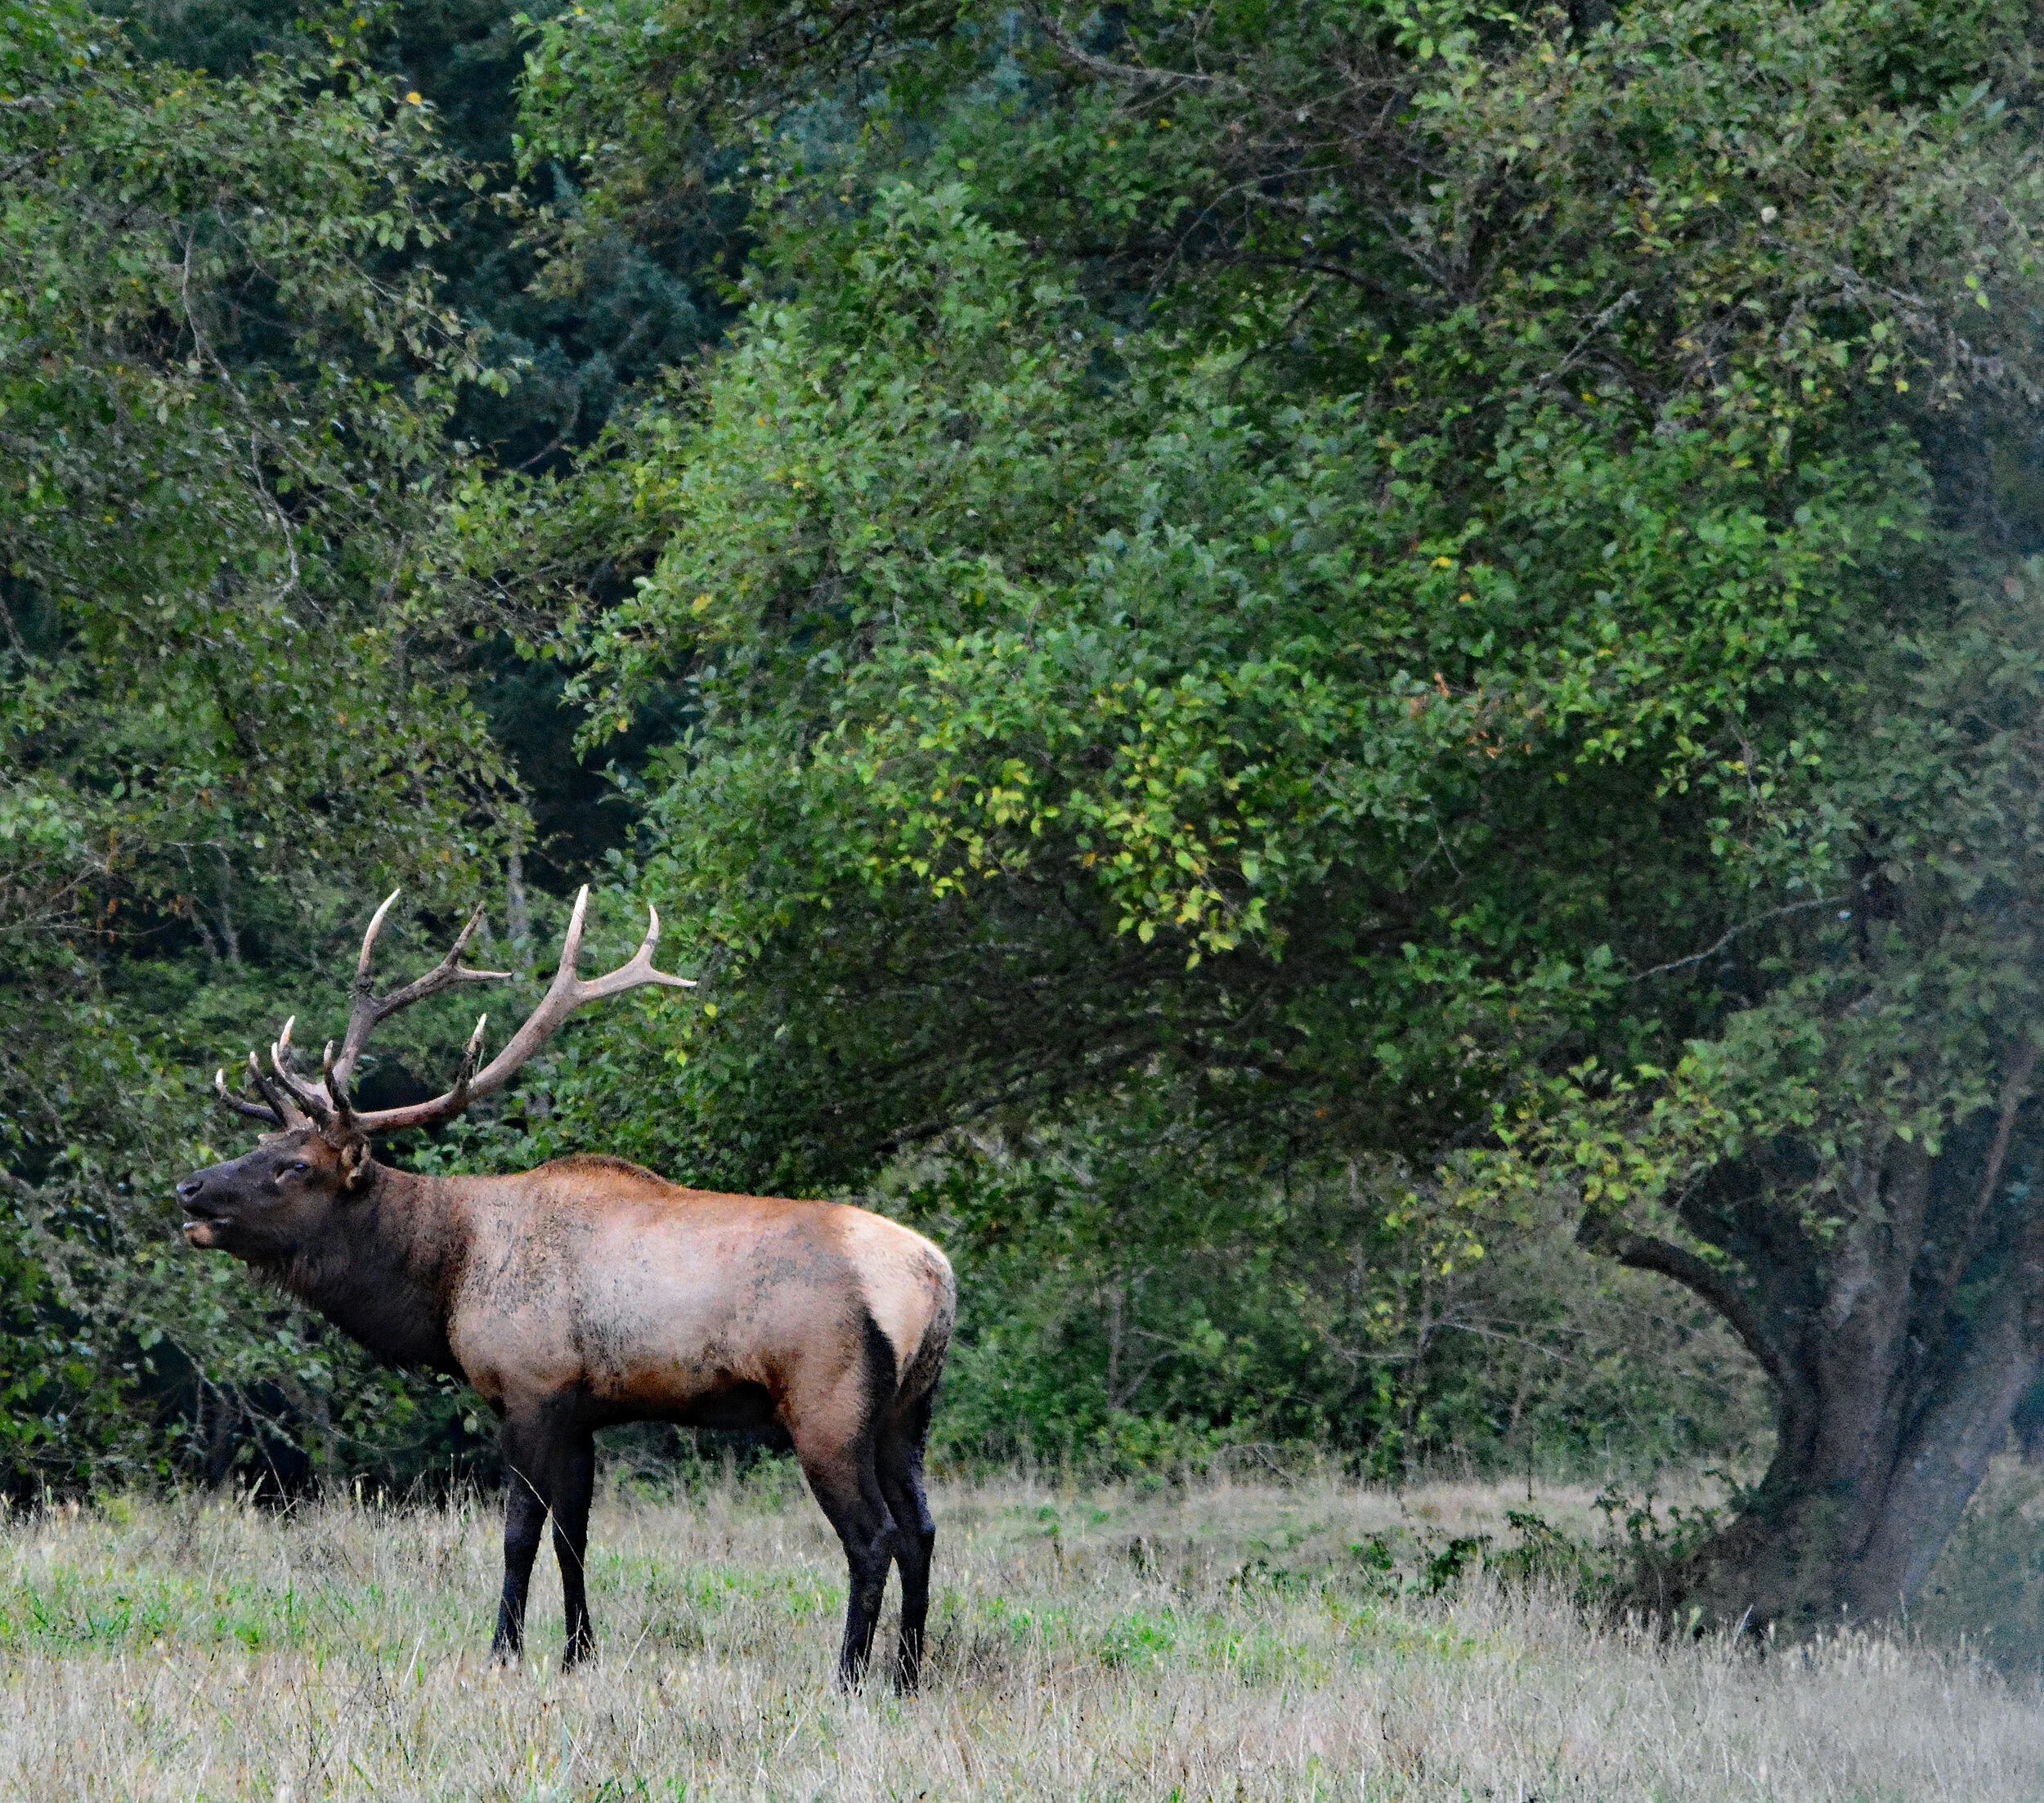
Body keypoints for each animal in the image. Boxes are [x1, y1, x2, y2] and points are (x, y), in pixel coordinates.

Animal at [174, 887, 955, 1690]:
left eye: (295, 1166)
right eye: (264, 1143)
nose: (190, 1189)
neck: (450, 1277)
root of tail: (934, 1274)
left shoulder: (529, 1388)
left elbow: (520, 1532)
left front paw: (504, 1649)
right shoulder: (584, 1410)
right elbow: (573, 1537)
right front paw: (579, 1652)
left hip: (827, 1403)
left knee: (874, 1536)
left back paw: (850, 1675)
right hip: (907, 1410)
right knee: (923, 1529)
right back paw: (909, 1672)